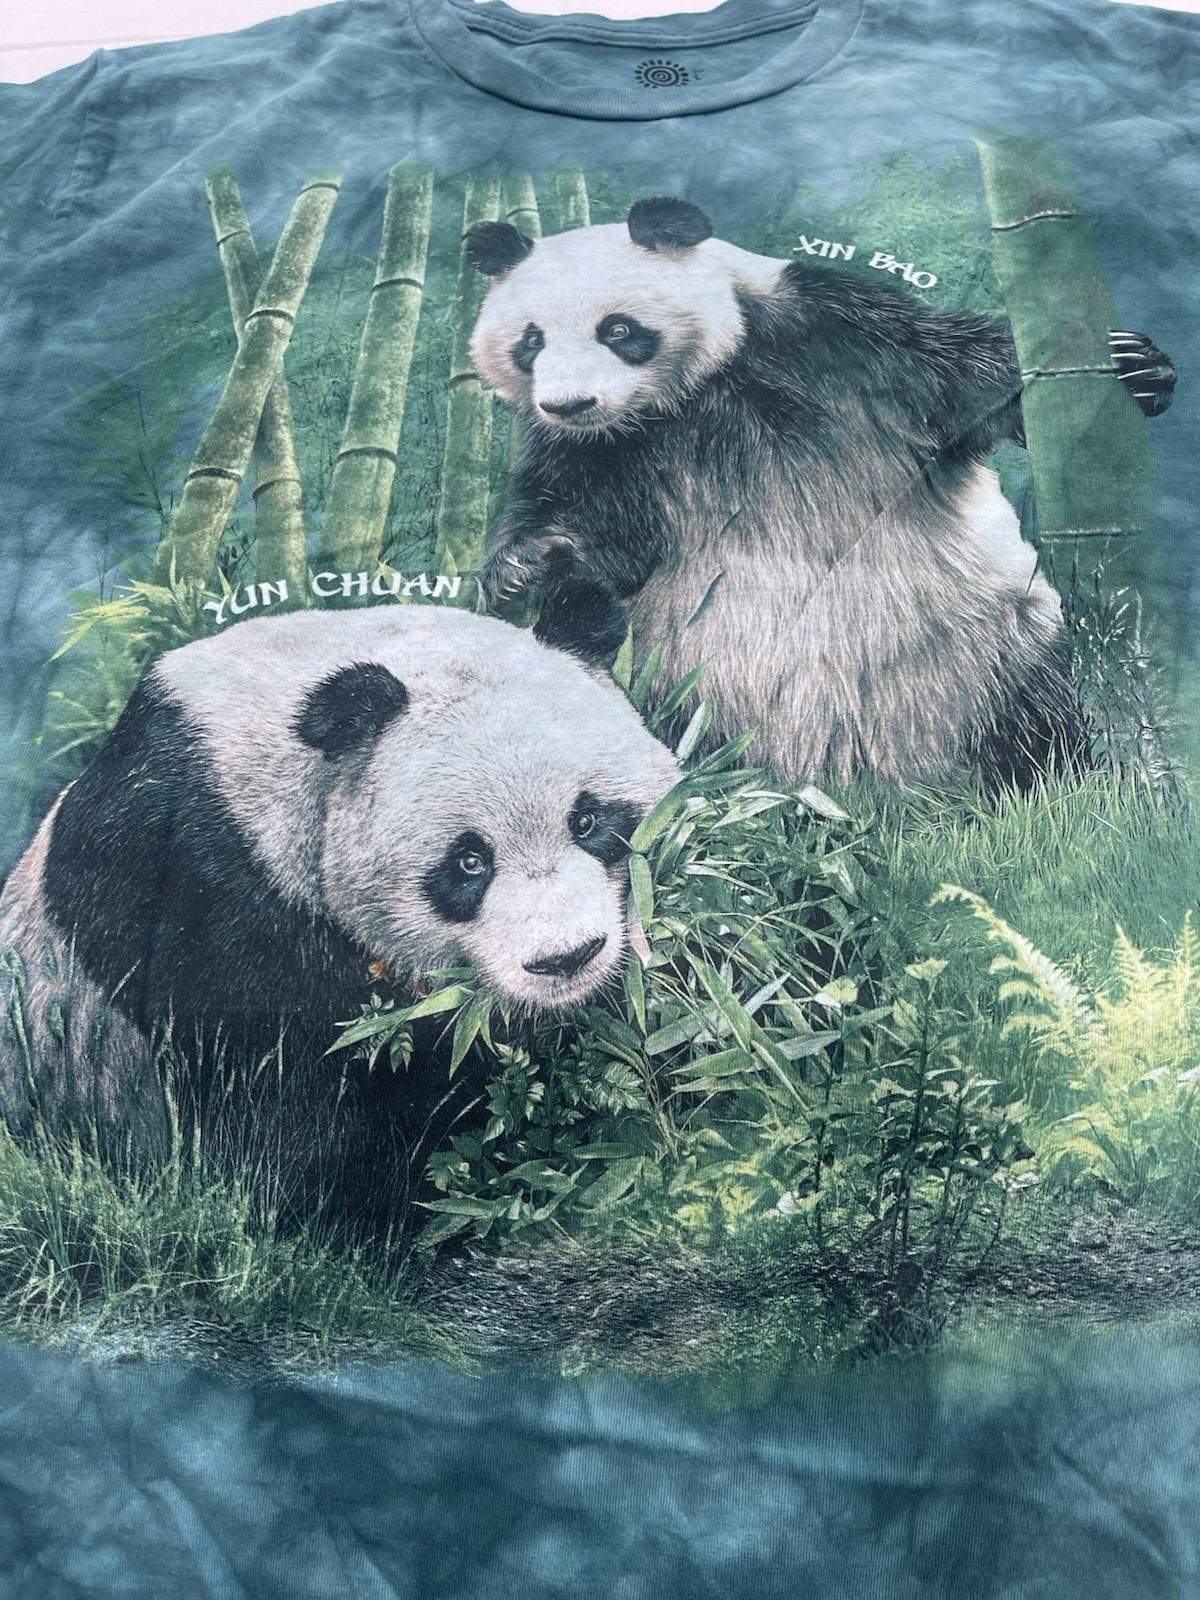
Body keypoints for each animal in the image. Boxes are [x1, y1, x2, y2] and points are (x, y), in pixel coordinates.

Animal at [466, 196, 1176, 790]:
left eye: (617, 330)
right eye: (531, 340)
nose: (569, 404)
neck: (697, 389)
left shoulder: (839, 337)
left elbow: (969, 376)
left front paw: (1138, 366)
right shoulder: (607, 454)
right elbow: (582, 518)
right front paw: (523, 567)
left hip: (985, 643)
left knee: (1036, 709)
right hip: (672, 678)